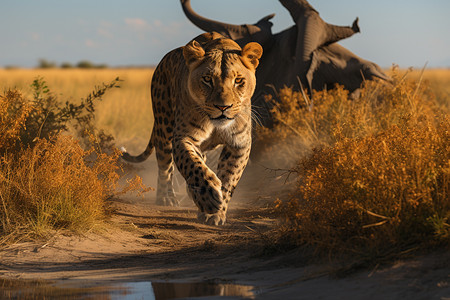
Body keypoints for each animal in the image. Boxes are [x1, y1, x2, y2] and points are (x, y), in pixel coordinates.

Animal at [121, 32, 262, 225]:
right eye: (207, 79)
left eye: (238, 81)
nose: (223, 107)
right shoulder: (183, 138)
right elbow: (193, 166)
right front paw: (209, 198)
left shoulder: (239, 144)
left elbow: (228, 177)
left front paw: (215, 213)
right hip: (164, 127)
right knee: (165, 167)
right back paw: (166, 198)